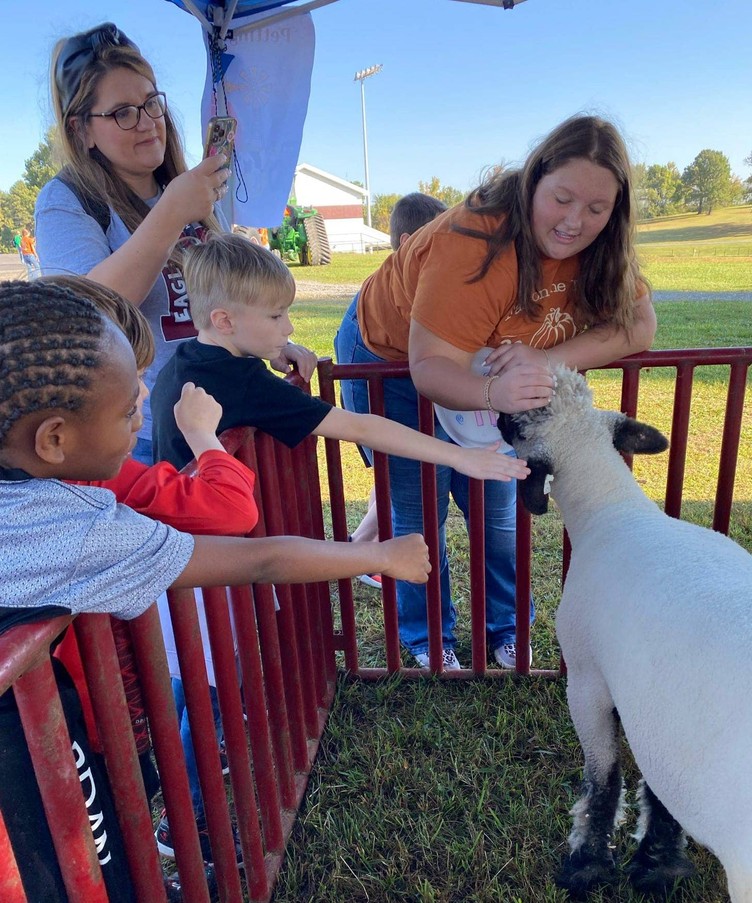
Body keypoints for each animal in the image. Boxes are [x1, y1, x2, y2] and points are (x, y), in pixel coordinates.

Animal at [500, 368, 752, 903]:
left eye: (517, 423)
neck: (610, 510)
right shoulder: (654, 710)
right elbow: (658, 788)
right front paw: (659, 863)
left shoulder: (587, 680)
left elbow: (603, 779)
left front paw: (587, 864)